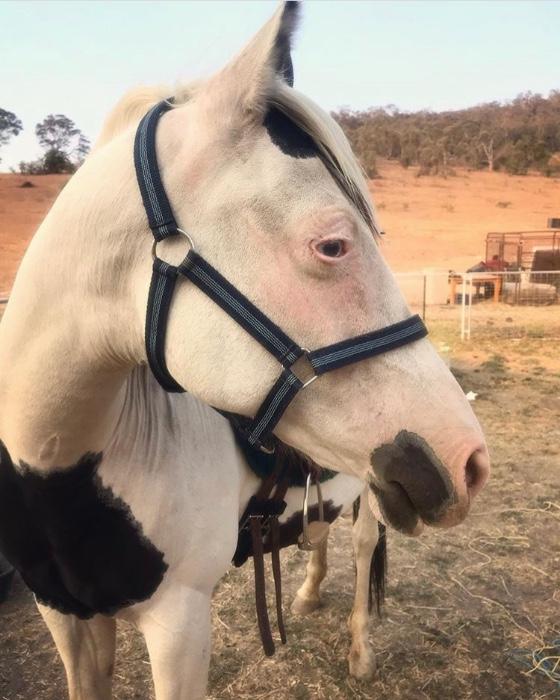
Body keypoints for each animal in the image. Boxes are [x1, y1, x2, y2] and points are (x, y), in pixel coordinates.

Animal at [0, 3, 490, 698]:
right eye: (333, 245)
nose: (469, 461)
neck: (56, 470)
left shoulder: (179, 626)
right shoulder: (66, 619)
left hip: (375, 487)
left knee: (365, 542)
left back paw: (360, 650)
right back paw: (308, 594)